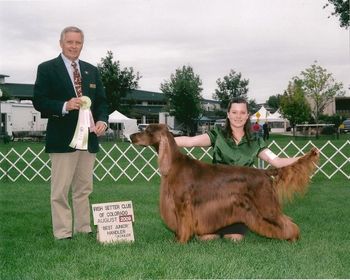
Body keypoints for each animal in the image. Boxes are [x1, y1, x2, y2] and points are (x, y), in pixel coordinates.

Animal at [130, 123, 318, 244]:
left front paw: (180, 242)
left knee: (286, 221)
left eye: (147, 130)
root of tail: (264, 172)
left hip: (266, 205)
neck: (173, 163)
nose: (130, 136)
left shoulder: (183, 204)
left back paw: (293, 238)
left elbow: (183, 225)